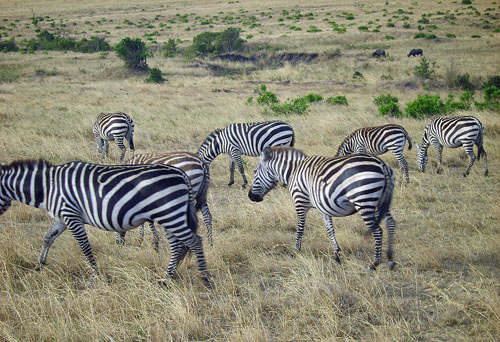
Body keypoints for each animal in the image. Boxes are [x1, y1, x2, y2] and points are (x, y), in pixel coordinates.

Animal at [0, 160, 209, 286]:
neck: (48, 187)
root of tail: (181, 174)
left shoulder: (71, 215)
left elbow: (85, 247)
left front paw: (95, 276)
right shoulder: (61, 218)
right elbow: (47, 238)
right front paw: (39, 265)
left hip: (169, 214)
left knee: (194, 241)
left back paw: (205, 279)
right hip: (170, 215)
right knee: (178, 246)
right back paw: (167, 278)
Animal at [248, 146, 396, 270]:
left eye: (255, 171)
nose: (250, 196)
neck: (293, 171)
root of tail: (382, 164)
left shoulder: (300, 201)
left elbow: (300, 228)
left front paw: (295, 251)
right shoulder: (324, 206)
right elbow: (330, 230)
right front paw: (337, 255)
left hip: (364, 201)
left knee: (377, 231)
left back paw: (375, 263)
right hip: (381, 202)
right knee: (391, 223)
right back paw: (390, 259)